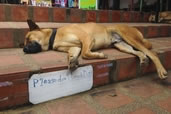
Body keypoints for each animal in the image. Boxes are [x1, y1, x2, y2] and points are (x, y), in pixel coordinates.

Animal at [23, 19, 168, 79]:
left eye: (28, 38)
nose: (24, 49)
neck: (55, 37)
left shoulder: (86, 38)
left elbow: (85, 53)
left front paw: (99, 55)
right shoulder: (75, 47)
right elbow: (72, 55)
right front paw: (72, 60)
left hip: (130, 37)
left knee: (152, 53)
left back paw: (161, 70)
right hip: (122, 45)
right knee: (139, 52)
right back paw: (143, 59)